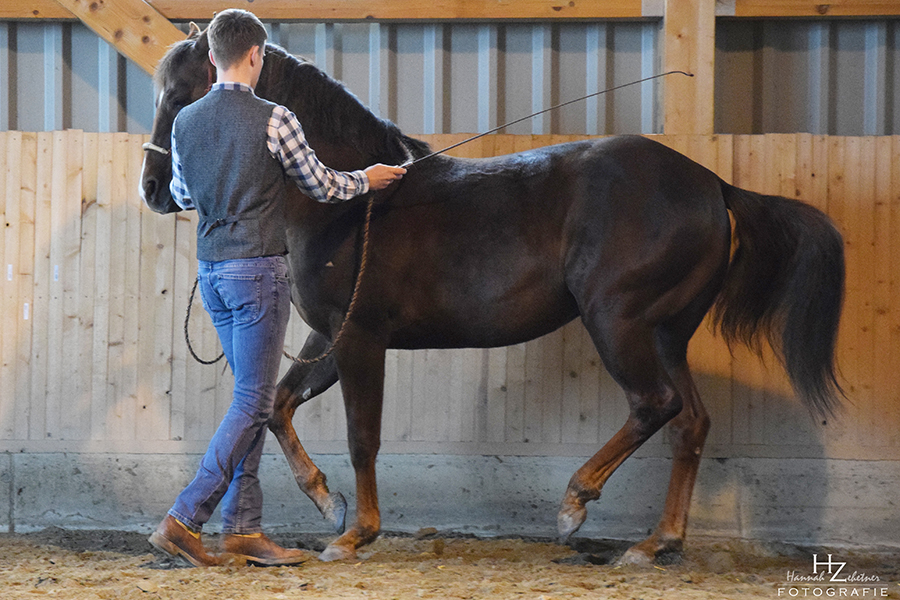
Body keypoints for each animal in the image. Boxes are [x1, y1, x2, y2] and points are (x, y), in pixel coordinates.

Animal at [141, 25, 844, 564]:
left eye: (178, 93)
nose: (153, 187)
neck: (354, 205)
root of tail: (713, 185)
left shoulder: (361, 336)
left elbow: (363, 435)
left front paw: (356, 534)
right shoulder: (328, 336)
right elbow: (280, 407)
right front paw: (325, 500)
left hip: (618, 322)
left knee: (656, 405)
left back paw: (575, 505)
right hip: (665, 333)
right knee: (690, 421)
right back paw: (655, 544)